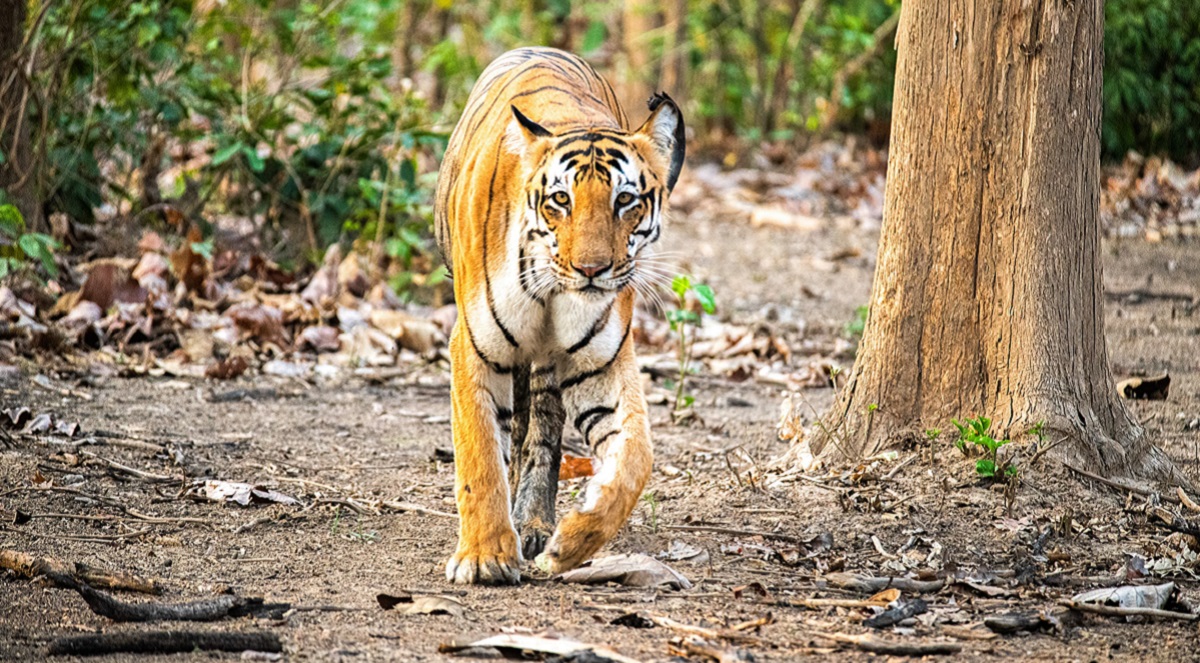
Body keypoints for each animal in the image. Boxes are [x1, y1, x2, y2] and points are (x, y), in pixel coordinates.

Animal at [433, 47, 685, 585]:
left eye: (625, 200)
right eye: (561, 200)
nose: (591, 269)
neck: (554, 294)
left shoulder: (602, 366)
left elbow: (636, 458)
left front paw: (571, 543)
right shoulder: (473, 347)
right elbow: (479, 454)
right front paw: (484, 557)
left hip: (550, 368)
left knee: (542, 430)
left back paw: (533, 524)